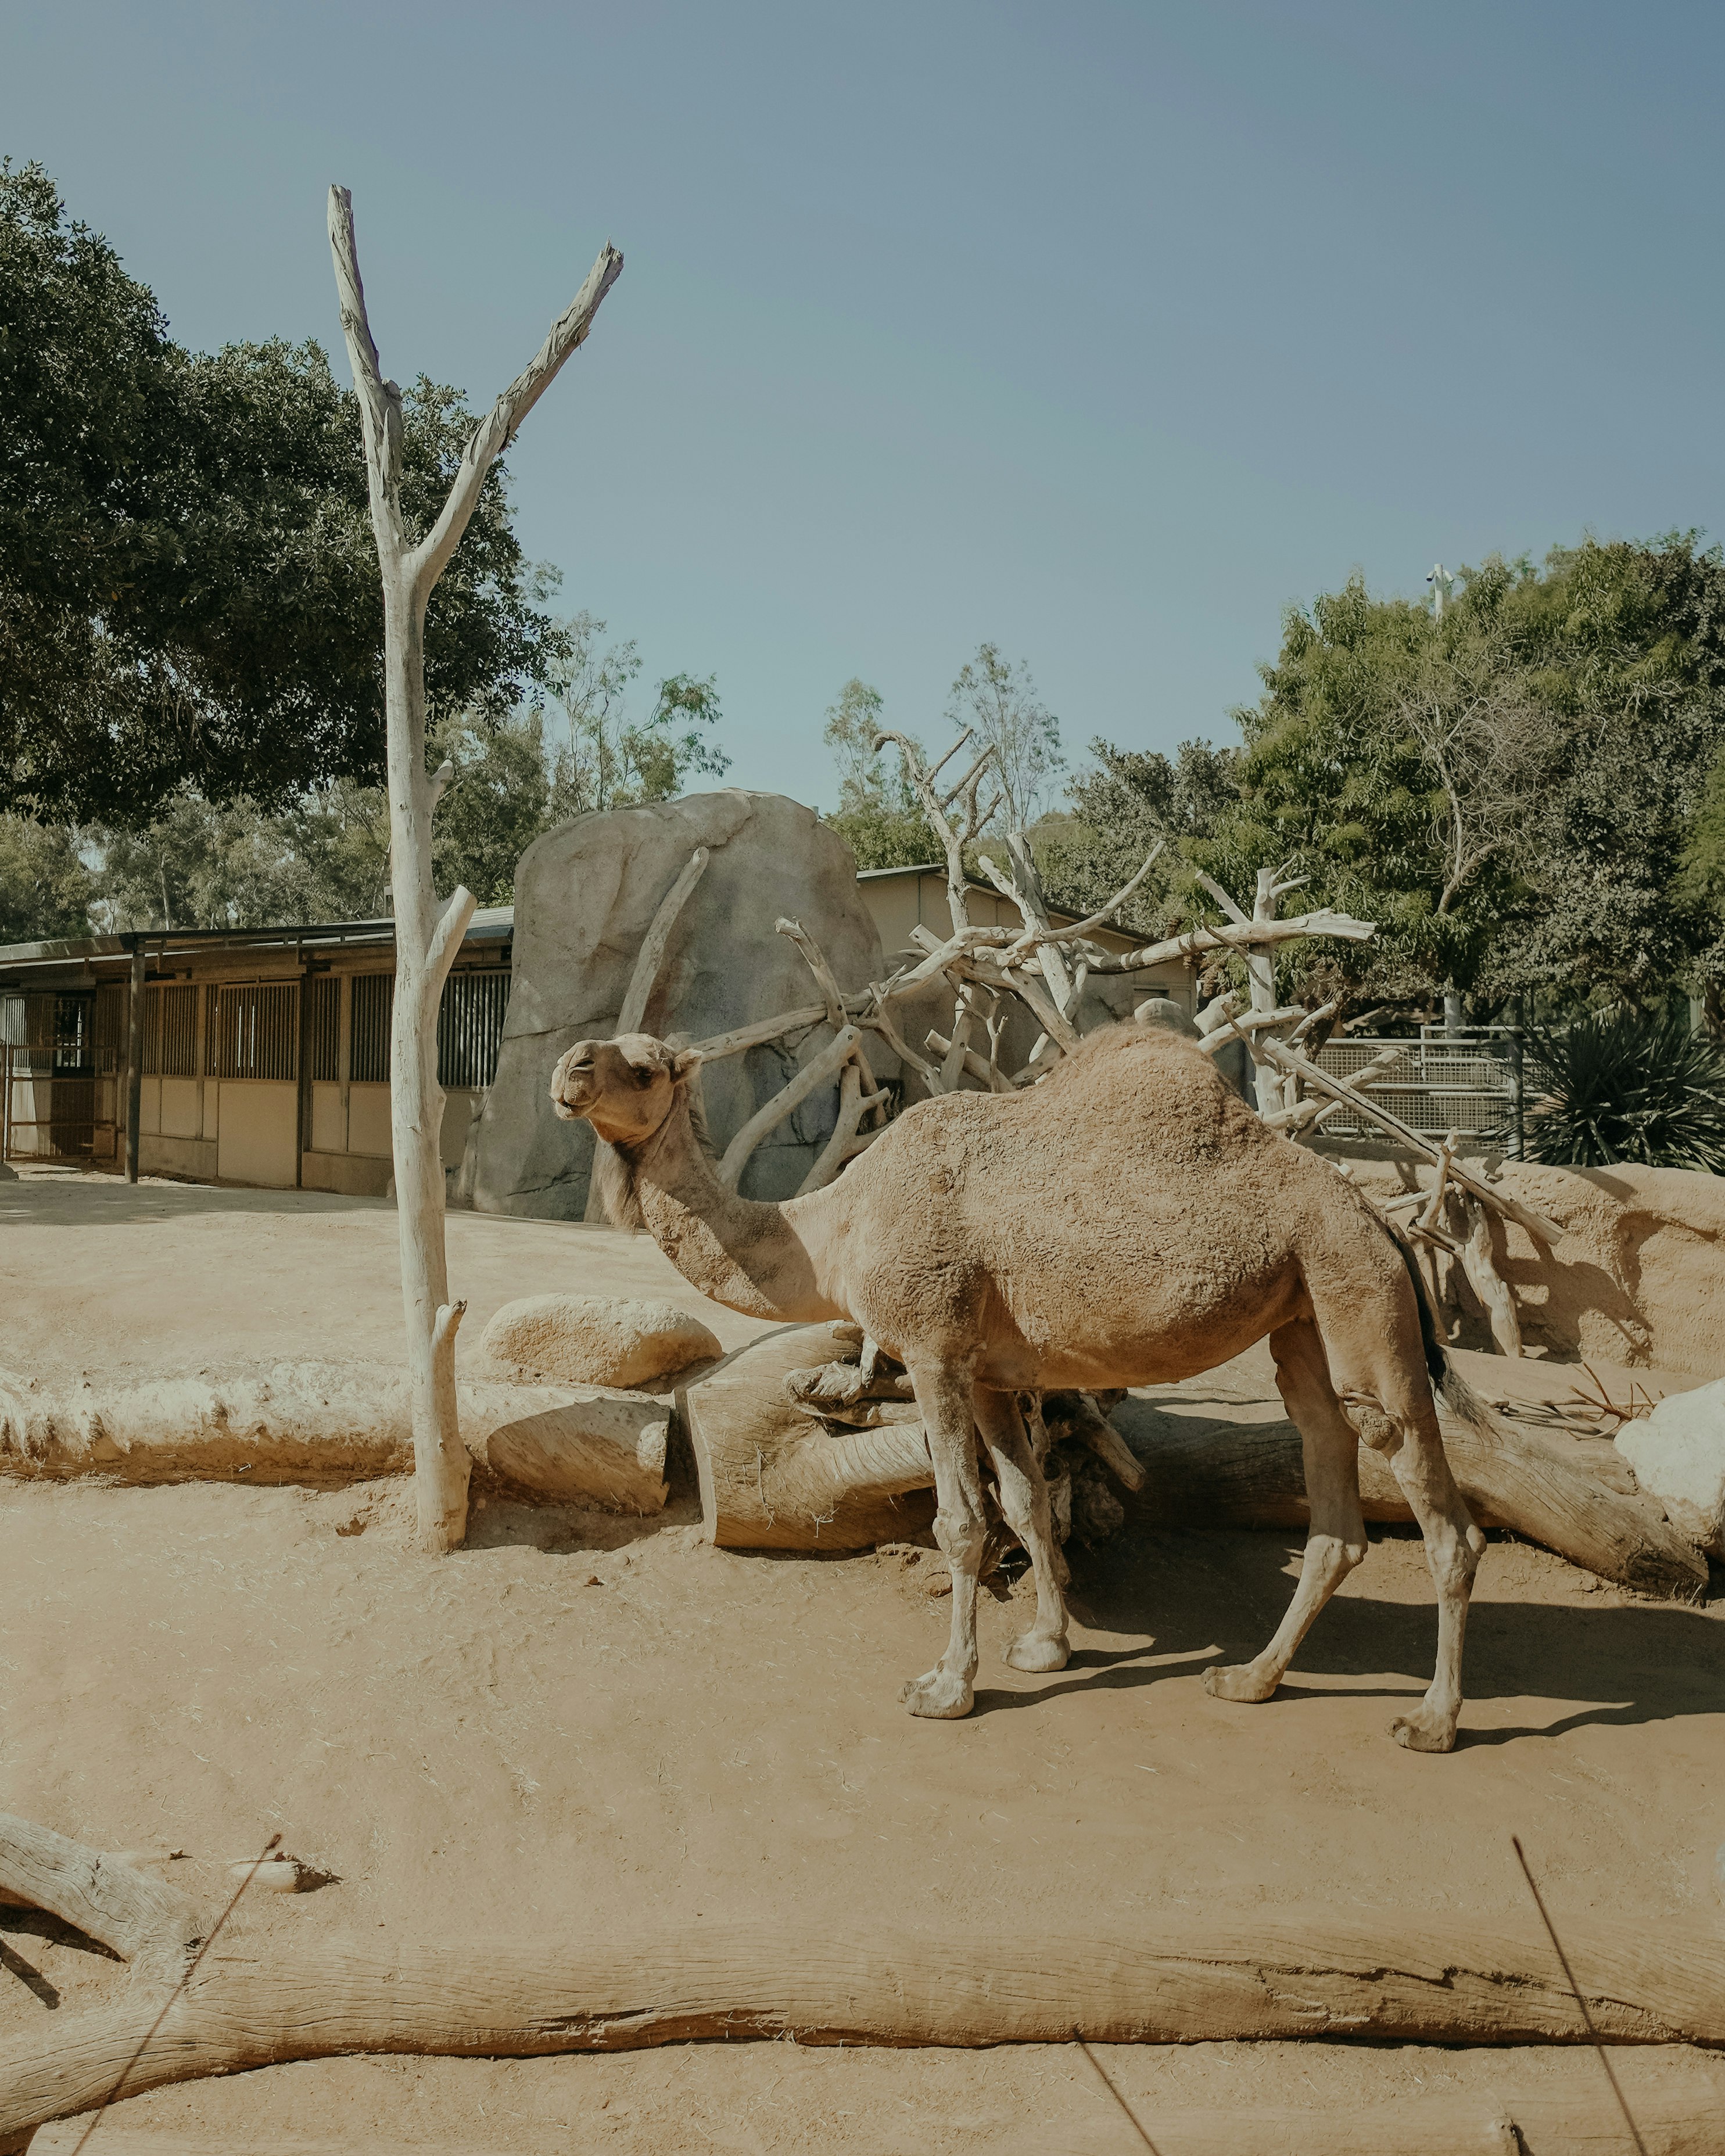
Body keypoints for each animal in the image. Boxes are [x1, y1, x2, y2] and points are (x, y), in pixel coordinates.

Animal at [550, 1017, 1483, 1742]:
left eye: (646, 1066)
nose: (569, 1070)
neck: (840, 1226)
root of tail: (1379, 1218)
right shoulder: (991, 1372)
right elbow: (1026, 1500)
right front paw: (1043, 1647)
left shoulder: (931, 1346)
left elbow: (961, 1521)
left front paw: (944, 1688)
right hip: (1305, 1312)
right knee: (1328, 1466)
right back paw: (1249, 1678)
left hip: (1356, 1284)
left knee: (1436, 1505)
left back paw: (1432, 1720)